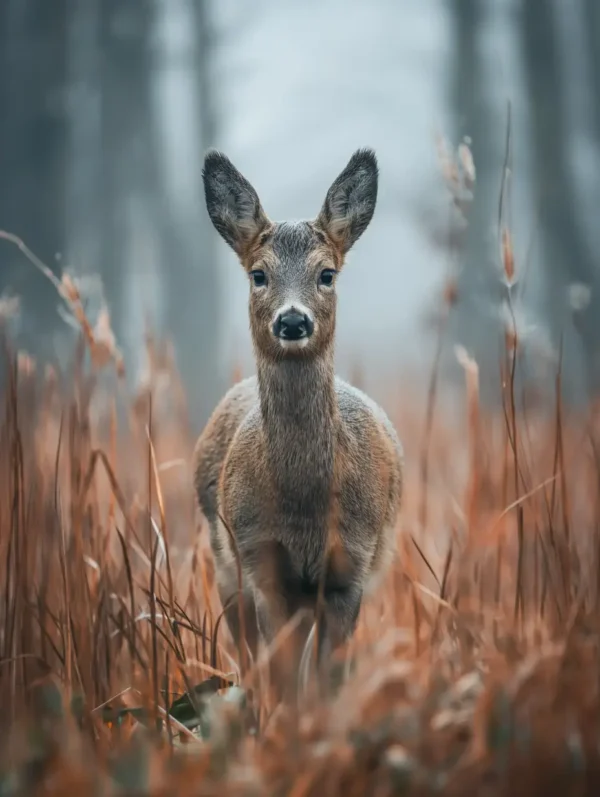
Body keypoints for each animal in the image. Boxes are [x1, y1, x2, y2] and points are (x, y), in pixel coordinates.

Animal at [193, 149, 404, 696]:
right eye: (258, 274)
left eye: (327, 273)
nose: (292, 320)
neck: (305, 507)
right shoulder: (260, 561)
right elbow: (283, 680)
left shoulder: (351, 564)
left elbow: (326, 680)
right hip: (223, 565)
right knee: (249, 659)